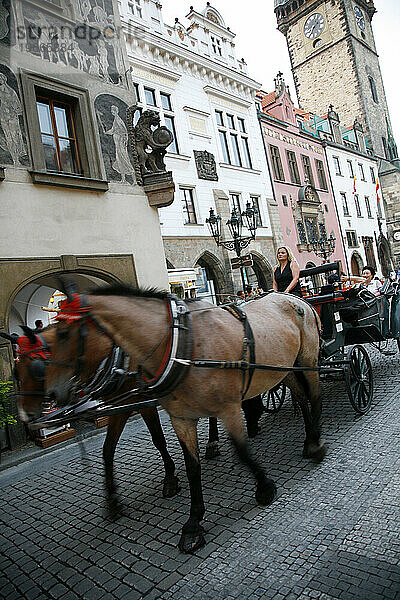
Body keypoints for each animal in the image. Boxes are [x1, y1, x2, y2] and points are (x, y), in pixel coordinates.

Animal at [14, 324, 180, 516]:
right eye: (16, 371)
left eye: (37, 368)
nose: (24, 415)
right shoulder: (120, 407)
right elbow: (107, 449)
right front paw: (112, 499)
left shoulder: (144, 403)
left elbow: (158, 439)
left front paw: (170, 478)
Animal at [44, 286, 324, 552]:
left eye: (63, 334)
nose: (53, 395)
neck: (182, 344)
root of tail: (295, 298)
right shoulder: (180, 418)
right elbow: (191, 467)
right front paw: (193, 523)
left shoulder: (229, 409)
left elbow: (242, 451)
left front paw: (264, 487)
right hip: (284, 369)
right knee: (301, 399)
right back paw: (307, 438)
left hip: (308, 361)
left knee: (315, 398)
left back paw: (315, 443)